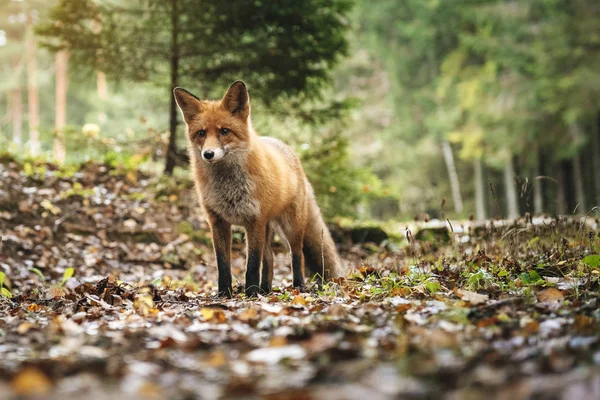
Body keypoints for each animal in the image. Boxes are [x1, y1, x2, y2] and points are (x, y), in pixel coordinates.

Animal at [173, 80, 342, 296]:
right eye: (201, 133)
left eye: (224, 131)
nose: (208, 154)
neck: (228, 186)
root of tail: (290, 151)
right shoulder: (218, 221)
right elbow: (223, 264)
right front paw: (224, 293)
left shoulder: (254, 220)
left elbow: (252, 264)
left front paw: (251, 293)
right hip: (268, 229)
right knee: (269, 257)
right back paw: (266, 289)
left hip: (290, 227)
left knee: (296, 255)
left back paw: (297, 286)